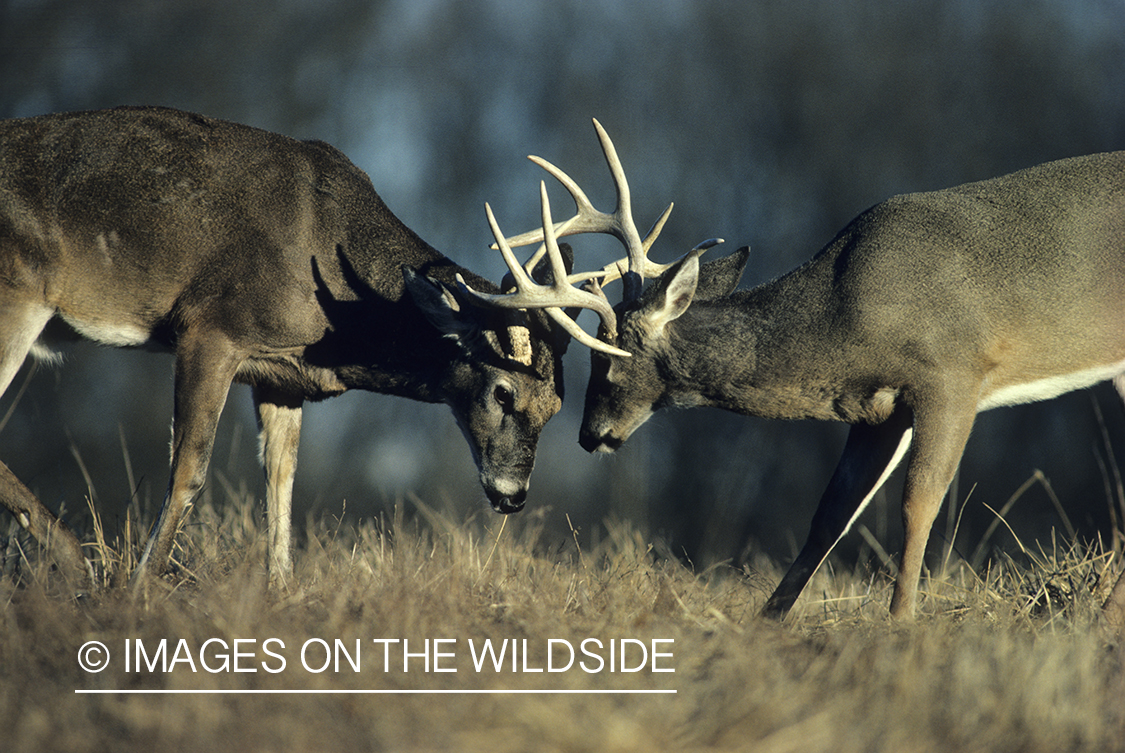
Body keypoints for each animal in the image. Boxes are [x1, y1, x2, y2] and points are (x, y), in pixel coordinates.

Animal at [0, 104, 598, 585]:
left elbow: (281, 481)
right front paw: (140, 586)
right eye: (502, 392)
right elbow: (189, 470)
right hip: (20, 295)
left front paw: (281, 591)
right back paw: (74, 559)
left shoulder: (281, 375)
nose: (513, 495)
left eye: (557, 406)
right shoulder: (211, 327)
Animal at [488, 117, 1125, 621]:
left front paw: (901, 624)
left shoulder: (952, 372)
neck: (844, 314)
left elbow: (917, 503)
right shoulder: (878, 412)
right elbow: (830, 515)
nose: (590, 435)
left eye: (606, 358)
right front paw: (766, 623)